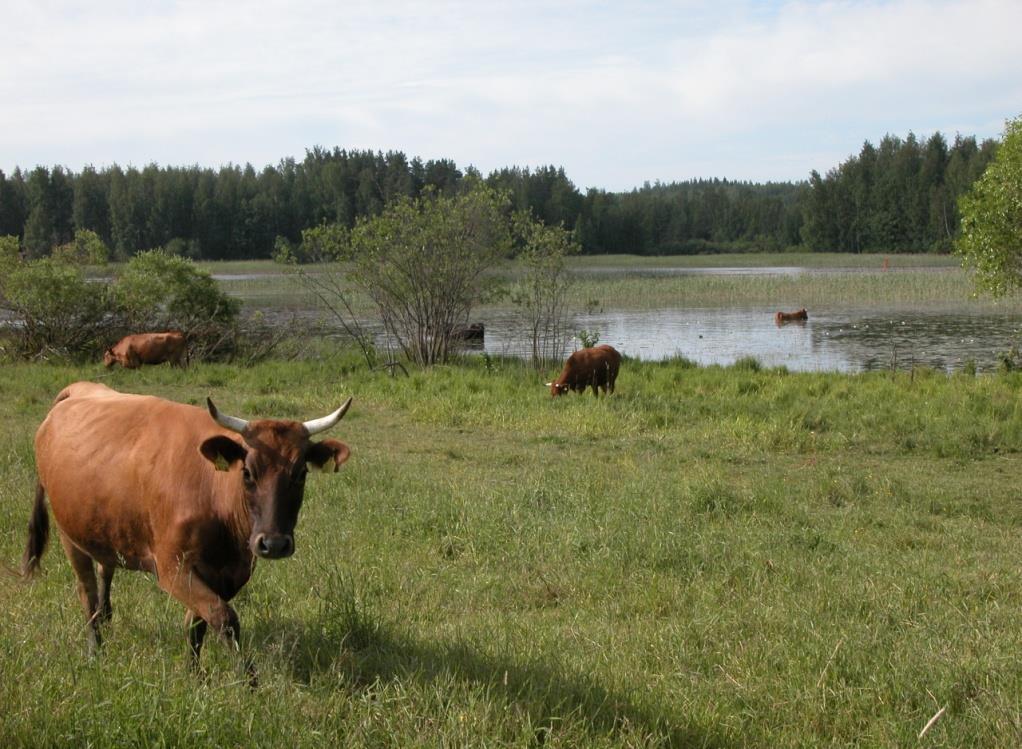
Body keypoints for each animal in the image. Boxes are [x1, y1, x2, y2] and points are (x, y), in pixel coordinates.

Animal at [21, 380, 353, 670]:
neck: (212, 494)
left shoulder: (230, 572)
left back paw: (106, 618)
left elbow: (196, 624)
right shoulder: (172, 568)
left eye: (301, 473)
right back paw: (94, 650)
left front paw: (194, 674)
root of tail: (78, 389)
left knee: (106, 569)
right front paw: (248, 681)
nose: (273, 544)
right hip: (69, 535)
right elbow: (224, 617)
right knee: (86, 590)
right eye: (247, 472)